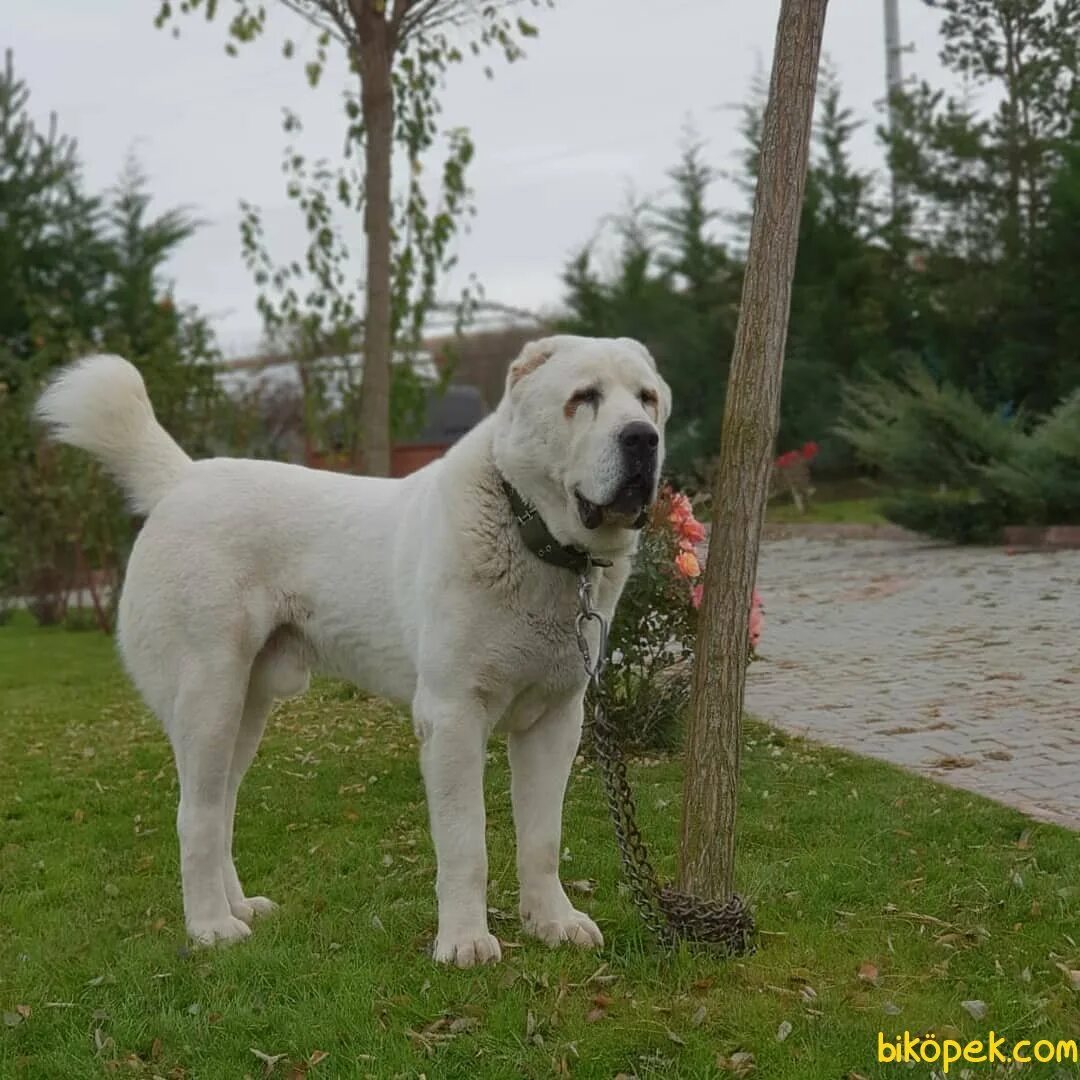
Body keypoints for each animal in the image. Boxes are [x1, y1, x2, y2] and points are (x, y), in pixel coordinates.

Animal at [35, 332, 665, 967]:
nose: (643, 438)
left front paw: (552, 922)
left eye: (647, 399)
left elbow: (542, 837)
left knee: (220, 807)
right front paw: (464, 941)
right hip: (207, 699)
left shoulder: (556, 721)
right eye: (583, 398)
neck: (530, 532)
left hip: (245, 707)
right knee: (196, 815)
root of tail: (181, 481)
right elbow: (467, 842)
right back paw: (211, 927)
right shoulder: (453, 716)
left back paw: (238, 907)